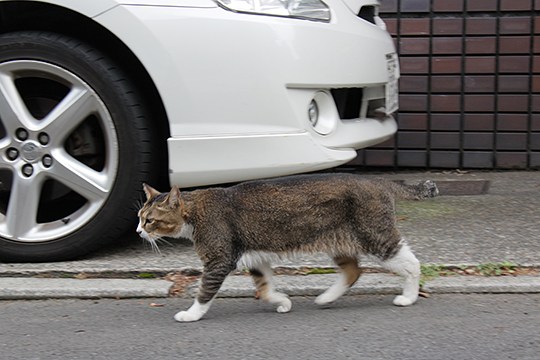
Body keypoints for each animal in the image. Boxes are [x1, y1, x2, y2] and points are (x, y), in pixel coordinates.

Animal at [136, 173, 438, 322]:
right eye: (139, 216)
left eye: (150, 220)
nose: (138, 231)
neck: (195, 212)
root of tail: (378, 180)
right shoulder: (255, 259)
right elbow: (265, 289)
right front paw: (282, 302)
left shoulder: (219, 260)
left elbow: (204, 293)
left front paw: (191, 315)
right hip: (338, 239)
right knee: (353, 271)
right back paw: (326, 298)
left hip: (375, 236)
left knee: (412, 264)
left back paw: (408, 297)